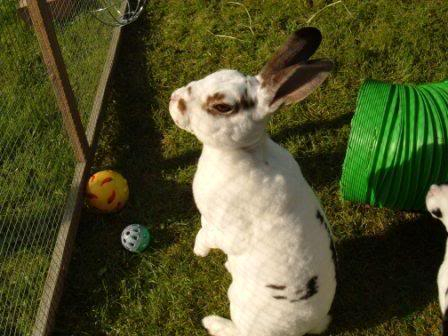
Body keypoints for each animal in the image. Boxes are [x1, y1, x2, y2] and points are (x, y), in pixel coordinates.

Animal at [168, 27, 336, 334]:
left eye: (223, 107)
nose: (175, 99)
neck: (246, 152)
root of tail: (313, 324)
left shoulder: (224, 230)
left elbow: (206, 236)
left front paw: (198, 251)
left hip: (240, 305)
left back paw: (212, 322)